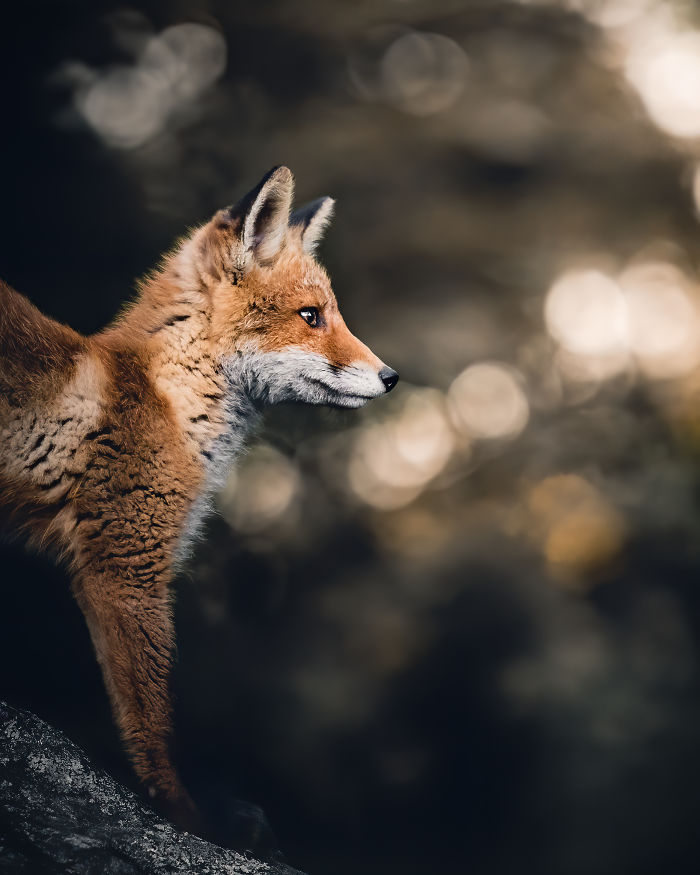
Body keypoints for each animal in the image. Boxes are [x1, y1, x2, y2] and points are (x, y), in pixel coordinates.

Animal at [0, 166, 398, 840]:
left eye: (331, 314)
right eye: (311, 316)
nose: (391, 377)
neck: (170, 400)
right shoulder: (127, 570)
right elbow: (151, 721)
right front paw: (186, 813)